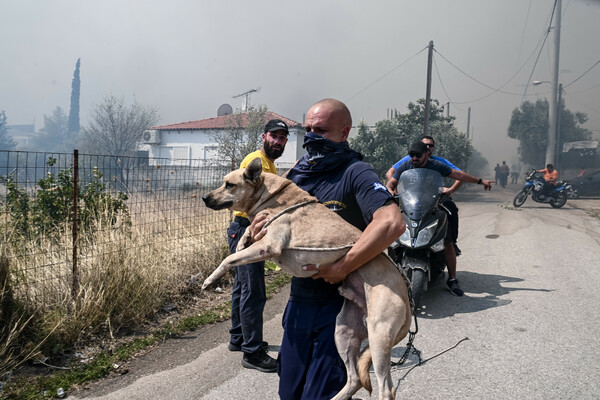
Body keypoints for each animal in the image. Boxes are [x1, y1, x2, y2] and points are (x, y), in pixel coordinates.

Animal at [197, 158, 412, 398]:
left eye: (229, 185)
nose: (204, 198)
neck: (270, 195)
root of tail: (407, 297)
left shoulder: (268, 246)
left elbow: (228, 258)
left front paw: (210, 280)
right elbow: (245, 238)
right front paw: (243, 240)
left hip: (378, 336)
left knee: (386, 388)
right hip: (343, 332)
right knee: (354, 378)